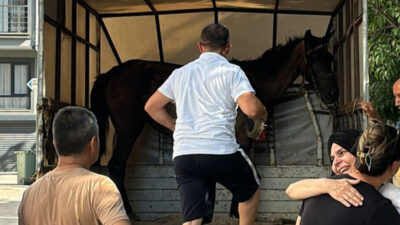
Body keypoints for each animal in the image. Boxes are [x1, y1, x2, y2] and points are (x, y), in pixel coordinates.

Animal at [90, 29, 338, 220]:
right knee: (117, 165)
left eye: (330, 58)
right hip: (128, 129)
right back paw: (129, 213)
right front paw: (236, 213)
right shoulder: (242, 138)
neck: (255, 81)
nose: (332, 94)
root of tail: (112, 73)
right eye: (313, 59)